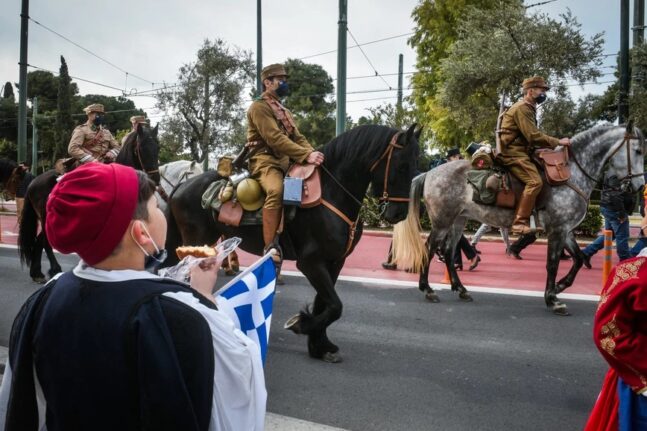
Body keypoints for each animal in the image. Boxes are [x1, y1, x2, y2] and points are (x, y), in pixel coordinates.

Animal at [18, 124, 161, 284]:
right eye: (142, 147)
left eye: (158, 147)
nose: (155, 179)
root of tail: (33, 182)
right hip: (45, 217)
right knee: (46, 243)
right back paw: (55, 269)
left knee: (39, 240)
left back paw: (37, 273)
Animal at [165, 125, 422, 364]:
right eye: (402, 166)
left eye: (417, 166)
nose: (398, 213)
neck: (331, 192)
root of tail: (182, 186)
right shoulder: (310, 262)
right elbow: (335, 306)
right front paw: (302, 325)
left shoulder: (334, 261)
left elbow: (325, 303)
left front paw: (320, 346)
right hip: (196, 242)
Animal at [392, 125, 644, 318]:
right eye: (639, 150)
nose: (639, 186)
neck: (571, 172)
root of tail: (429, 173)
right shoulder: (557, 230)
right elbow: (552, 264)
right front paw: (552, 299)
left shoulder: (566, 230)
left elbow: (579, 258)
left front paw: (560, 287)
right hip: (442, 221)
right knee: (429, 248)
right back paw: (427, 289)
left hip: (458, 220)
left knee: (447, 249)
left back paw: (461, 288)